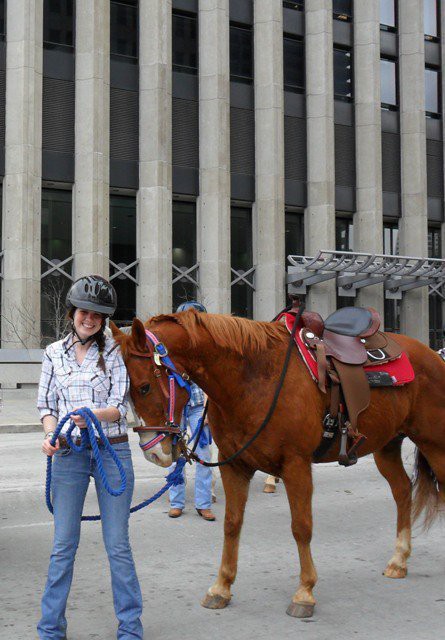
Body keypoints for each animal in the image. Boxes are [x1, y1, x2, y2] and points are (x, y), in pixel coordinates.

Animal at [112, 312, 444, 616]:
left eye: (144, 387)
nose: (153, 453)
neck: (253, 378)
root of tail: (432, 356)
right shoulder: (234, 465)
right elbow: (232, 524)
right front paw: (221, 587)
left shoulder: (296, 465)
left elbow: (301, 527)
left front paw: (305, 592)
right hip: (387, 446)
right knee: (402, 491)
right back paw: (399, 559)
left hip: (434, 445)